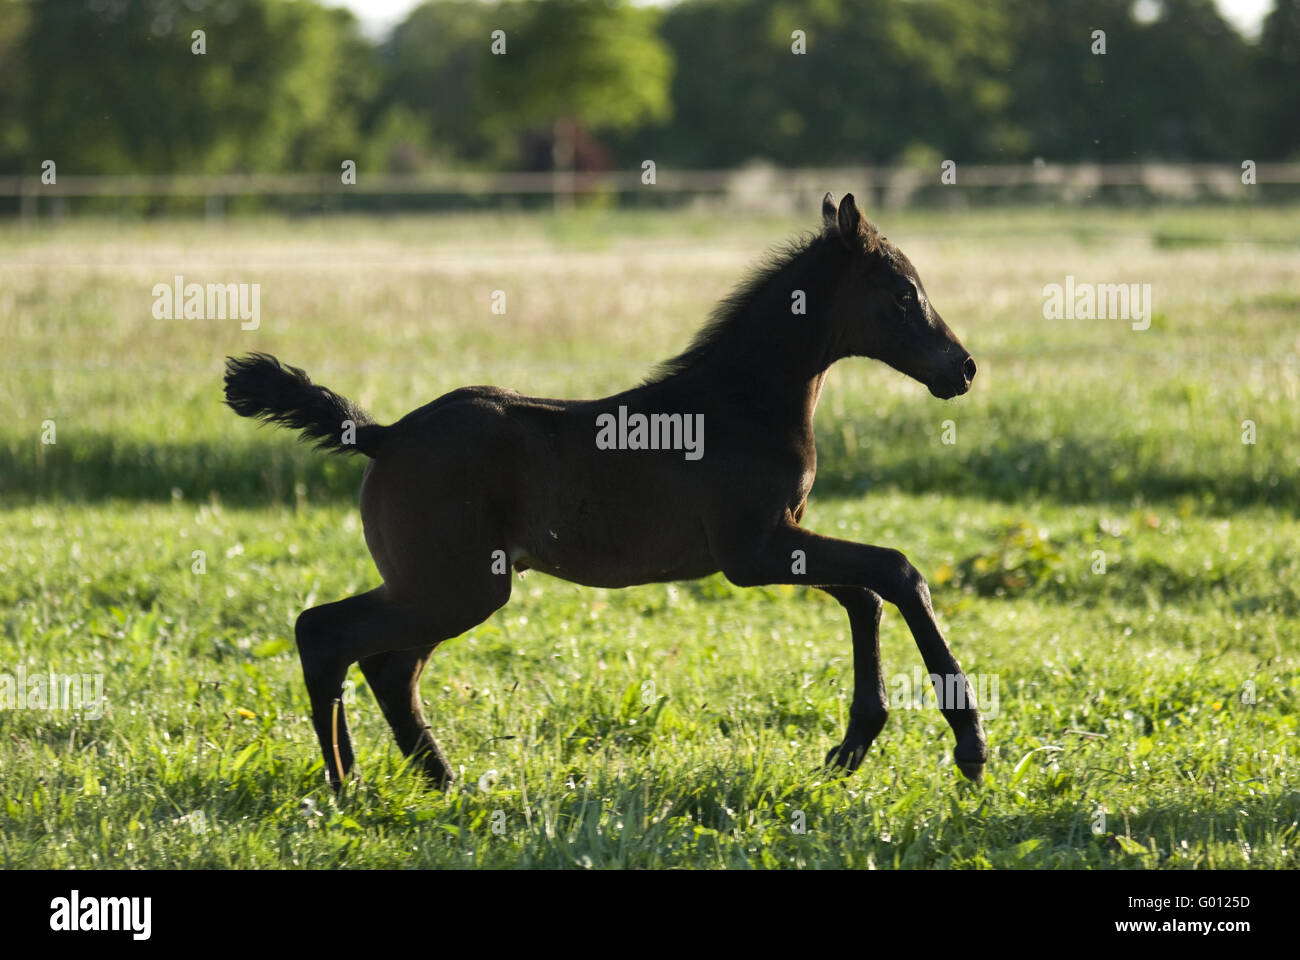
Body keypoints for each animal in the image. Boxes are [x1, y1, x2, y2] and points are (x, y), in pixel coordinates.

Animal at [228, 192, 987, 785]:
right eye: (902, 294)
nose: (963, 368)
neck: (742, 403)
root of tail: (381, 434)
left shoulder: (781, 541)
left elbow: (866, 595)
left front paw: (853, 743)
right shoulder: (753, 551)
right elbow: (896, 571)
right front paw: (969, 744)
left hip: (439, 587)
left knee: (385, 667)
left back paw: (437, 781)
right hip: (457, 587)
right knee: (326, 633)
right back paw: (346, 783)